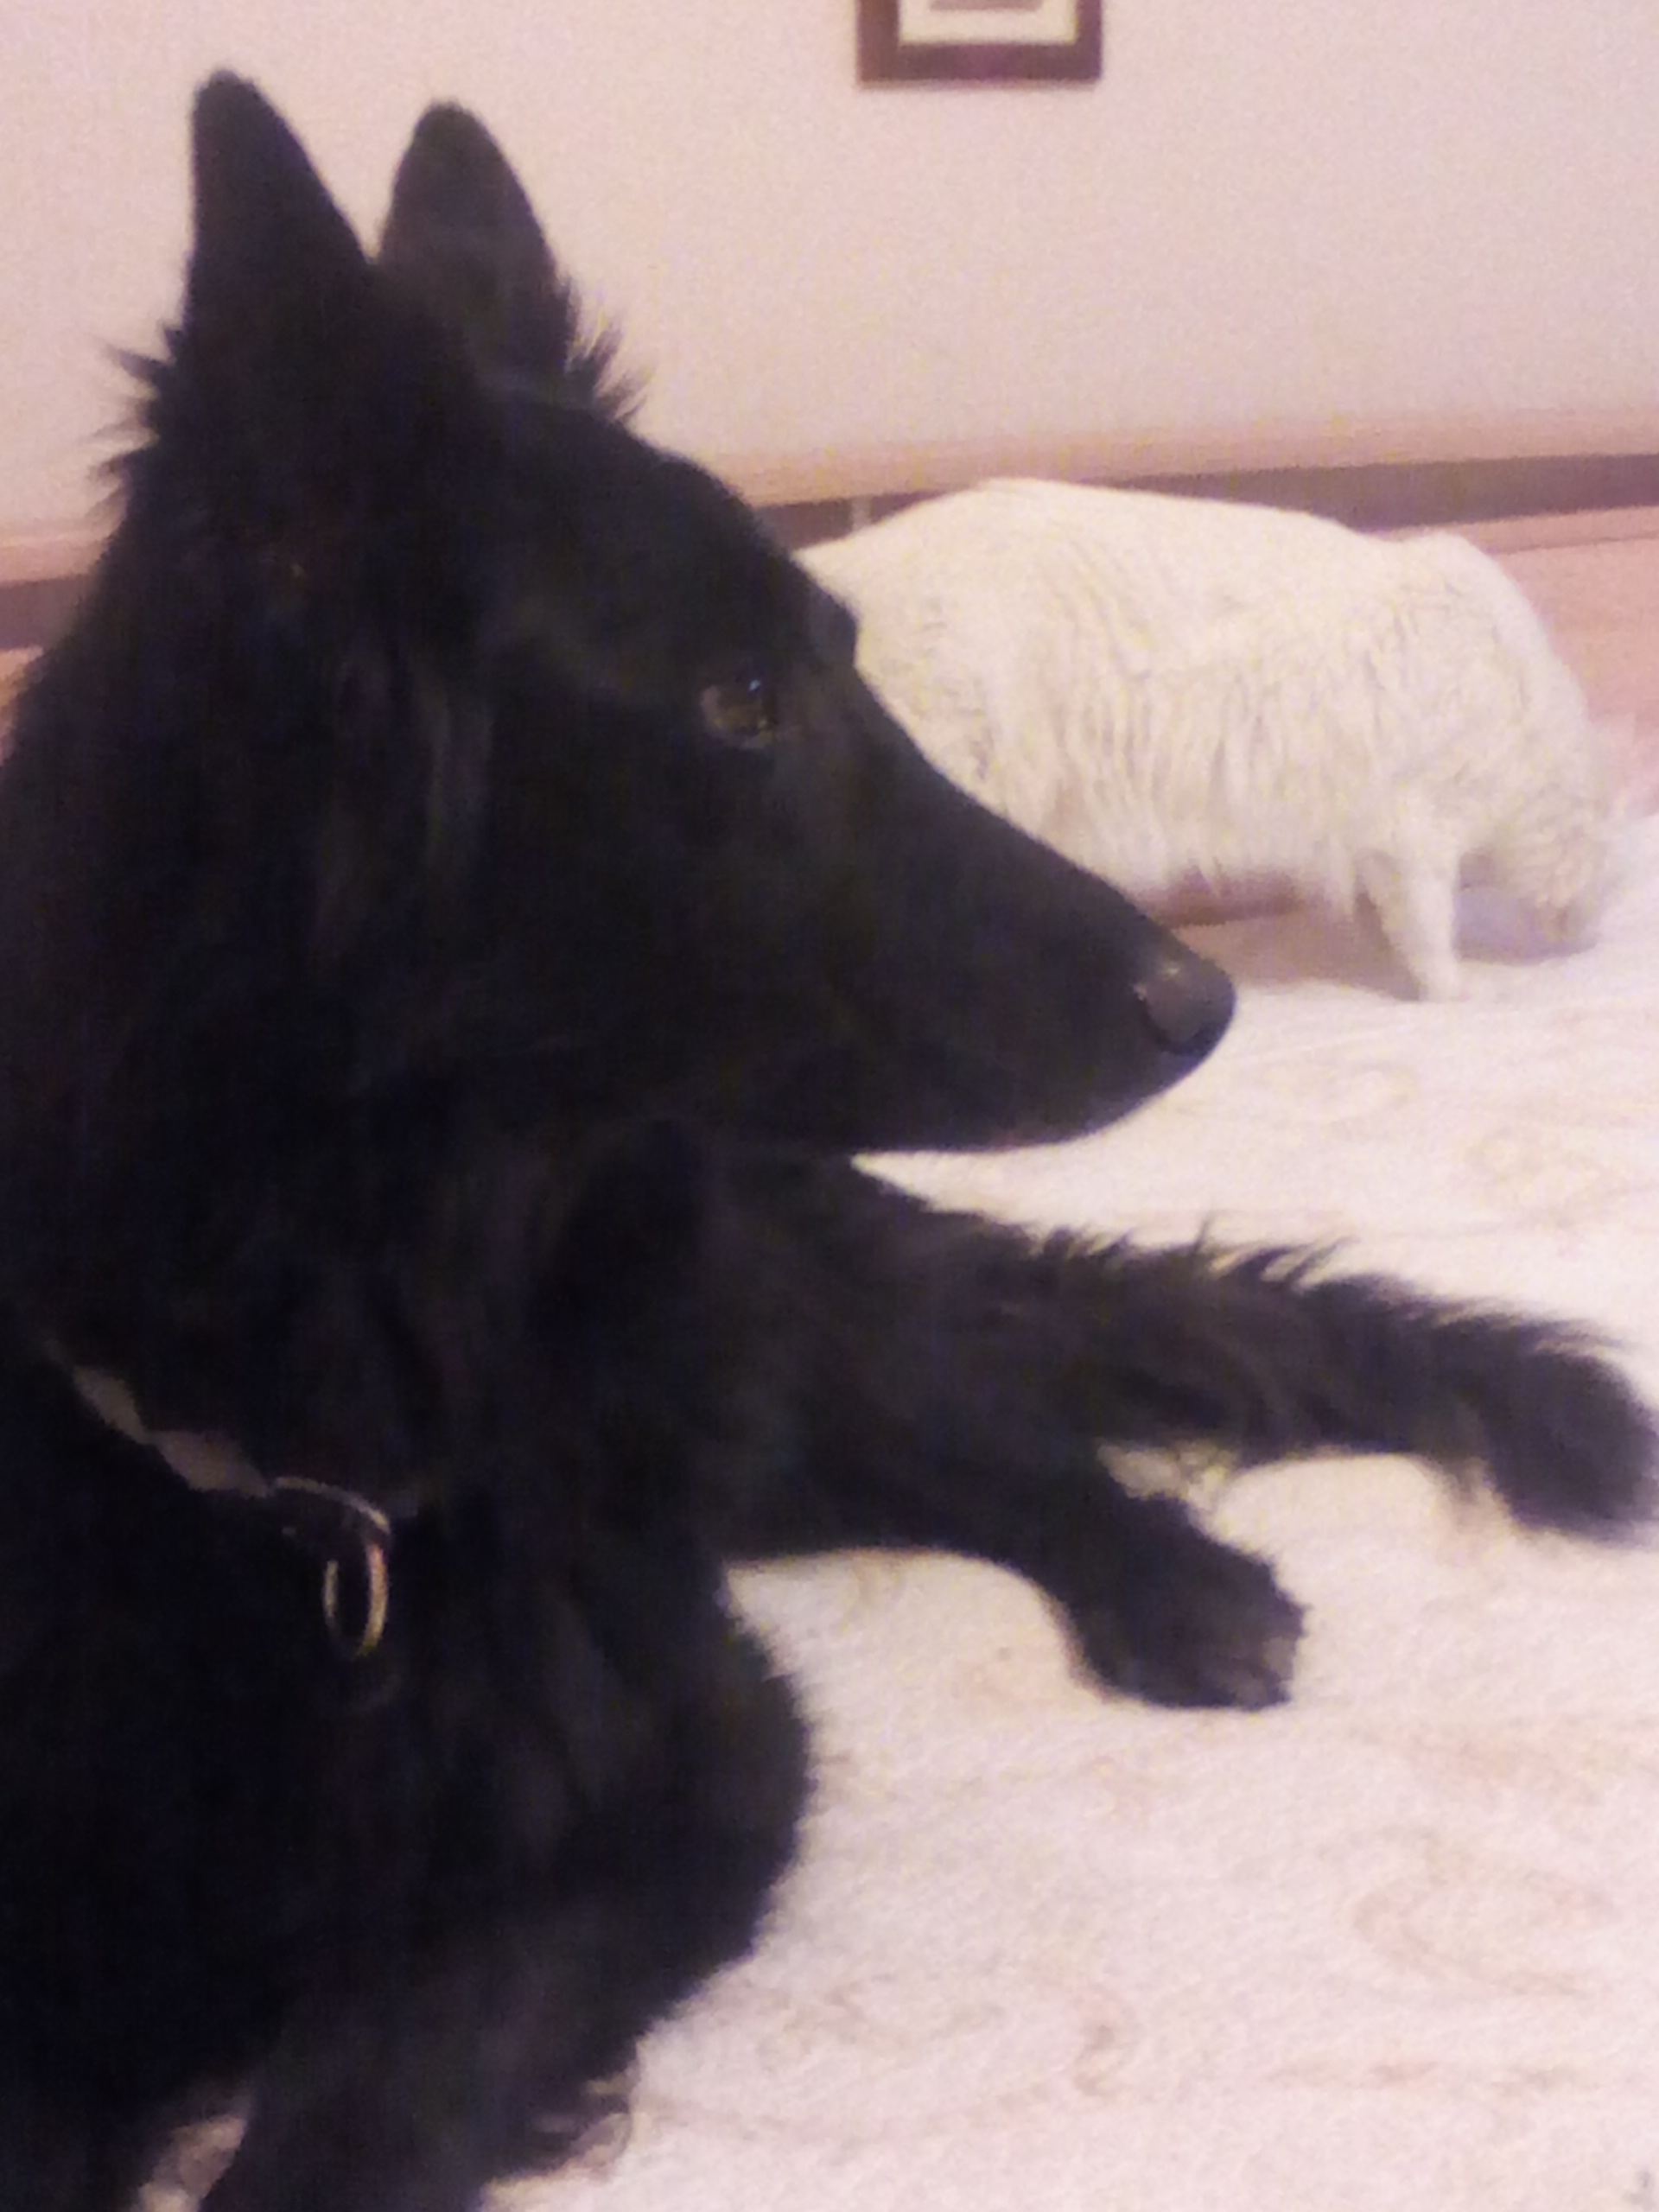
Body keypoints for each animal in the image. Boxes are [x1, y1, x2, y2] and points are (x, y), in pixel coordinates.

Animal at [804, 479, 1623, 997]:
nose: (1590, 932)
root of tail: (833, 564)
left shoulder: (1369, 838)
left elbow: (1376, 914)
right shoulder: (1415, 829)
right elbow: (1431, 933)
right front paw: (1461, 987)